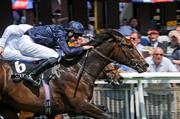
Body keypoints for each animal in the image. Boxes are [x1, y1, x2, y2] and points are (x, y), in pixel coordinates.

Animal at [0, 29, 148, 119]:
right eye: (129, 46)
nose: (145, 65)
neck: (77, 71)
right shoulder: (81, 105)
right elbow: (108, 116)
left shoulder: (57, 111)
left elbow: (105, 108)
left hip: (8, 108)